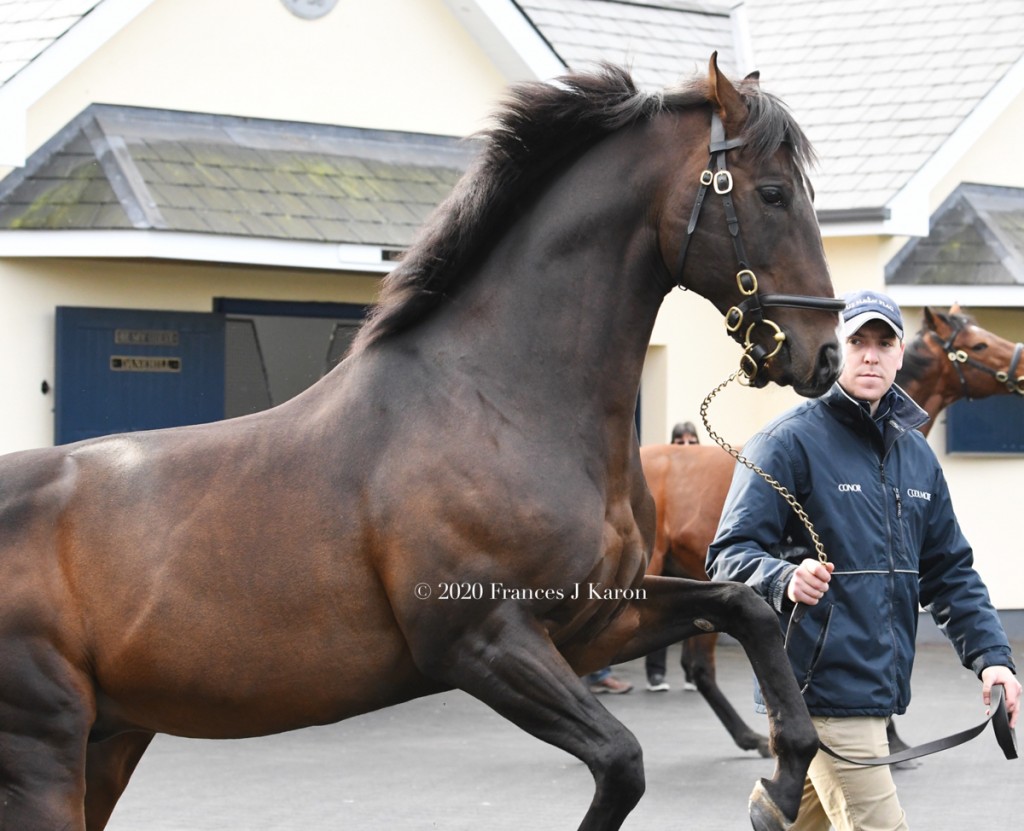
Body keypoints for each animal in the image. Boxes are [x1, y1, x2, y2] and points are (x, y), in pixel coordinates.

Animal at [2, 55, 847, 826]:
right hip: (46, 748)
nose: (825, 356)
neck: (499, 403)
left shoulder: (597, 621)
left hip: (110, 739)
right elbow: (621, 761)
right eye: (772, 193)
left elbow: (747, 607)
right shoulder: (482, 640)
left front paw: (778, 785)